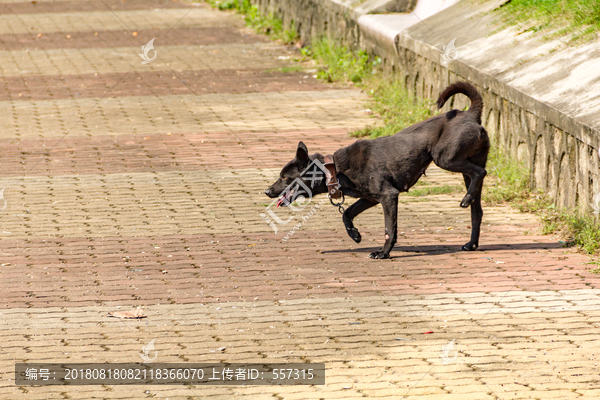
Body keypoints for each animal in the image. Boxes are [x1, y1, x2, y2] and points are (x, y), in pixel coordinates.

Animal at [264, 83, 490, 260]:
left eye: (285, 177)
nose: (267, 191)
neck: (335, 169)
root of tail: (470, 114)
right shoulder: (369, 198)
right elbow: (347, 213)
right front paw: (354, 234)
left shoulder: (388, 196)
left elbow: (390, 229)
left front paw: (383, 253)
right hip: (463, 167)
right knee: (477, 210)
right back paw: (471, 243)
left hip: (445, 158)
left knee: (480, 172)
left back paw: (466, 199)